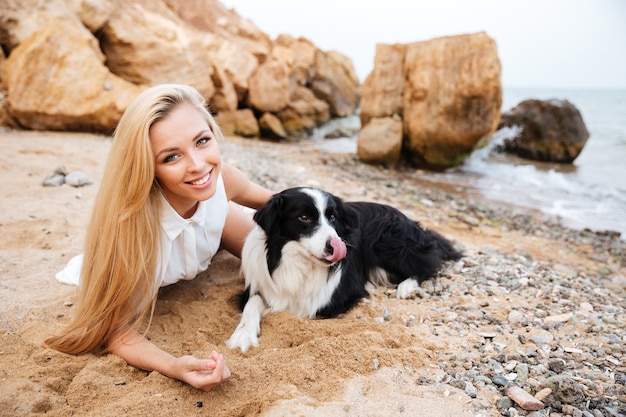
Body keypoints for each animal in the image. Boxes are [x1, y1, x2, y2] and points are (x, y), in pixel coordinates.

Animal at [227, 188, 460, 352]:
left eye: (332, 217)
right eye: (303, 217)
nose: (335, 246)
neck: (295, 262)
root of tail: (413, 223)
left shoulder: (329, 299)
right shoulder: (257, 286)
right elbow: (253, 303)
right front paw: (243, 335)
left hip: (388, 241)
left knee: (429, 263)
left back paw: (405, 286)